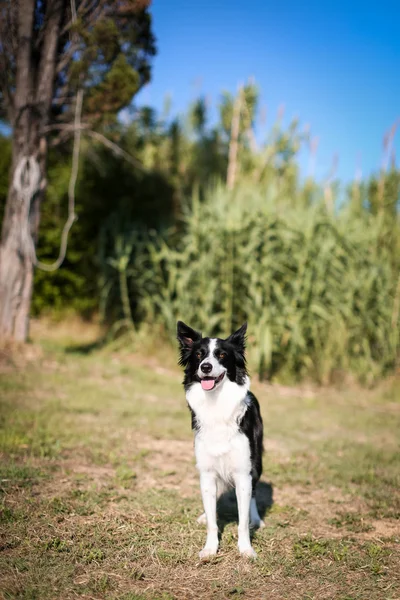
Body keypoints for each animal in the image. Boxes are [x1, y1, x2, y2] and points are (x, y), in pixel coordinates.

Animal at [177, 322, 264, 560]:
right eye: (199, 355)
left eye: (222, 355)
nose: (206, 367)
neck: (216, 402)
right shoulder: (206, 472)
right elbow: (213, 521)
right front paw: (210, 548)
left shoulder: (243, 472)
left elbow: (242, 521)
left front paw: (246, 550)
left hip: (256, 462)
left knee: (254, 491)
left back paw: (256, 519)